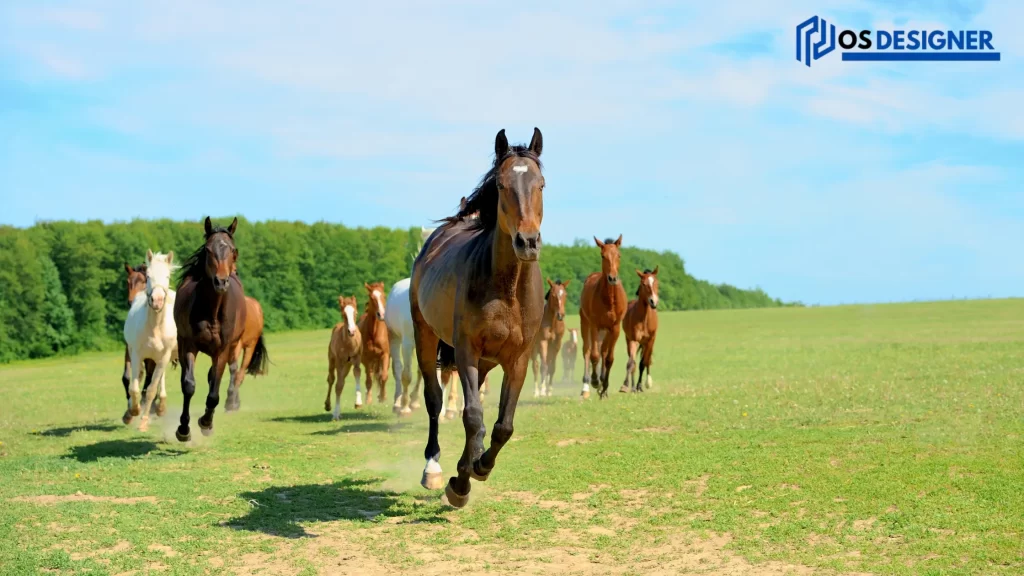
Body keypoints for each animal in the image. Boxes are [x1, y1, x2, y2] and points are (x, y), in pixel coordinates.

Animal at [122, 250, 179, 430]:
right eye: (148, 276)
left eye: (167, 276)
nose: (157, 300)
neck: (155, 326)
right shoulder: (135, 354)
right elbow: (133, 386)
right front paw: (132, 411)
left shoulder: (163, 357)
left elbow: (151, 388)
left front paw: (144, 421)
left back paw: (160, 407)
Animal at [173, 215, 248, 438]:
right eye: (207, 249)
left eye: (233, 250)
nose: (221, 281)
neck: (212, 311)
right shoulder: (189, 345)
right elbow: (188, 385)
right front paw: (183, 429)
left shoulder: (222, 350)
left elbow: (214, 391)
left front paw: (206, 423)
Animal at [411, 126, 548, 506]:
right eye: (501, 185)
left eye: (541, 183)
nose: (527, 242)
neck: (507, 289)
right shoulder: (467, 351)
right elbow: (472, 416)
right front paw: (461, 482)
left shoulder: (518, 359)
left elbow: (502, 426)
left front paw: (477, 468)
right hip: (424, 335)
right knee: (434, 400)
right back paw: (434, 468)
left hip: (486, 362)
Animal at [581, 235, 626, 397]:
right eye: (603, 256)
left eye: (619, 255)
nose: (612, 278)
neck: (610, 300)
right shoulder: (594, 325)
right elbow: (594, 355)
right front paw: (595, 381)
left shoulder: (615, 328)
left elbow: (609, 358)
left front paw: (605, 387)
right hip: (586, 324)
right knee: (587, 351)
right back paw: (589, 384)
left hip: (606, 331)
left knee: (603, 351)